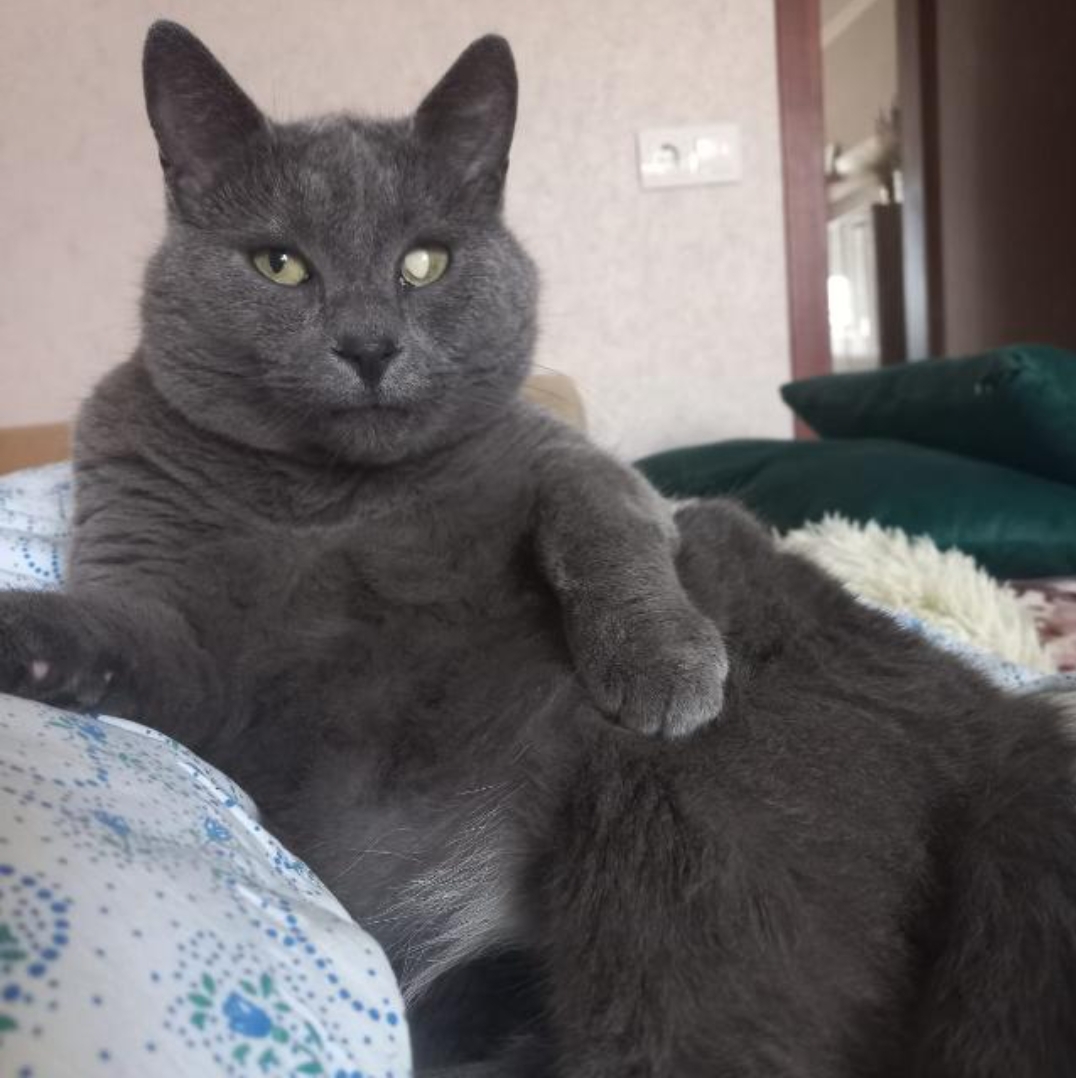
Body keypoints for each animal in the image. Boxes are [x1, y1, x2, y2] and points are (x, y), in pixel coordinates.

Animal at [1, 20, 1076, 1077]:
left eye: (425, 263)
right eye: (280, 265)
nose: (369, 345)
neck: (338, 500)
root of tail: (998, 722)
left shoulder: (573, 459)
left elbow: (602, 520)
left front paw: (662, 667)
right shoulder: (174, 618)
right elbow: (126, 640)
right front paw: (24, 638)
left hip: (694, 840)